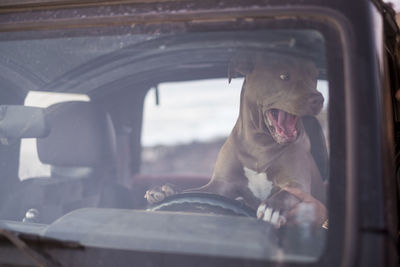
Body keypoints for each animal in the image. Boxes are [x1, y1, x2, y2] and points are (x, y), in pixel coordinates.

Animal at [145, 52, 326, 228]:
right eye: (284, 75)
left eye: (315, 77)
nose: (319, 99)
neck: (260, 145)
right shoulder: (220, 185)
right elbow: (193, 191)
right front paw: (166, 190)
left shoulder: (296, 183)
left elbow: (287, 193)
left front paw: (274, 207)